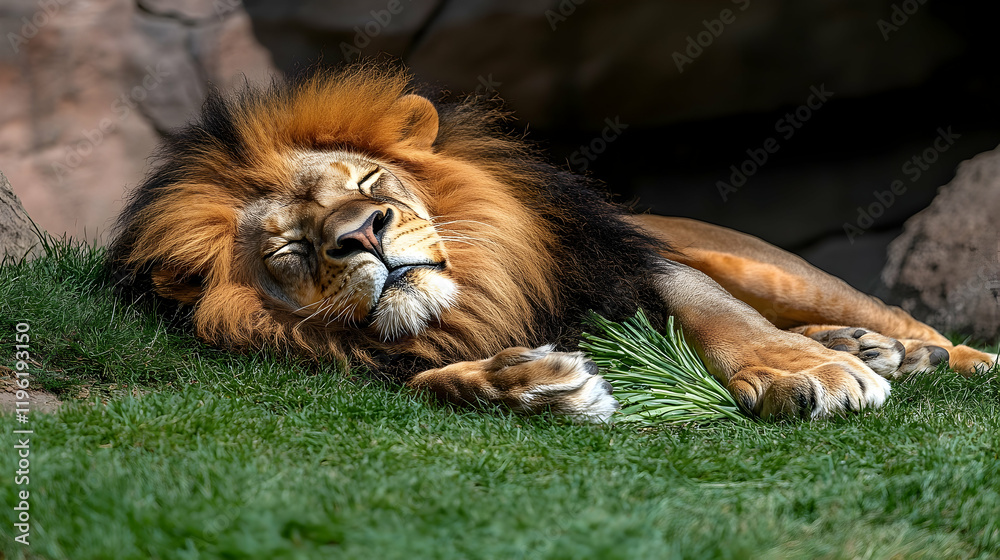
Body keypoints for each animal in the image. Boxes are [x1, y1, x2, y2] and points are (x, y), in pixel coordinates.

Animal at [107, 65, 995, 422]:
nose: (361, 235)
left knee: (896, 315)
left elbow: (716, 315)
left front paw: (801, 373)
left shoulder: (626, 259)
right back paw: (865, 347)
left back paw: (927, 353)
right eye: (292, 251)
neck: (479, 295)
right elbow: (427, 383)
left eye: (368, 184)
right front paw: (528, 385)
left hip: (771, 266)